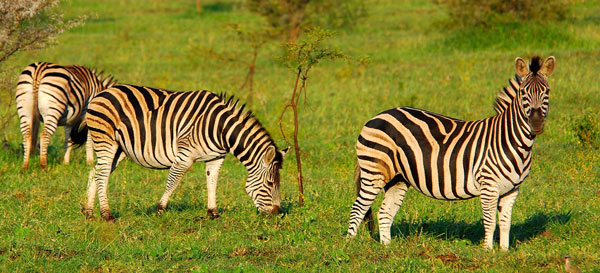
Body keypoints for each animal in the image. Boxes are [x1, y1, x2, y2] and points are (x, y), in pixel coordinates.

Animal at [72, 84, 288, 220]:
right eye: (271, 183)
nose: (277, 214)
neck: (220, 128)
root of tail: (101, 93)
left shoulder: (216, 158)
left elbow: (212, 182)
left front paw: (213, 213)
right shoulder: (185, 155)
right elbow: (173, 182)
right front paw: (159, 209)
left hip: (119, 148)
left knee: (97, 172)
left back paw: (90, 213)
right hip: (106, 141)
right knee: (102, 175)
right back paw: (106, 215)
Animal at [346, 55, 556, 249]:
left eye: (547, 91)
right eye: (523, 92)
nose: (536, 124)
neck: (512, 141)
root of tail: (377, 116)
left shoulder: (512, 189)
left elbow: (505, 223)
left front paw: (504, 252)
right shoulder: (488, 185)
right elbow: (490, 222)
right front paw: (488, 252)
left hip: (397, 178)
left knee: (384, 213)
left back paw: (387, 249)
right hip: (374, 171)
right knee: (358, 209)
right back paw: (348, 247)